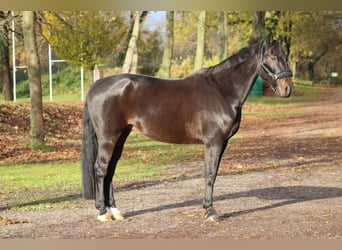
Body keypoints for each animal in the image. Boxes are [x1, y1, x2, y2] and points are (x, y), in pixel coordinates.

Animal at [81, 32, 292, 221]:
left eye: (286, 56)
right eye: (272, 56)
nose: (288, 88)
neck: (221, 91)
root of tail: (96, 85)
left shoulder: (222, 143)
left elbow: (214, 174)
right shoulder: (213, 142)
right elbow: (209, 174)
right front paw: (210, 212)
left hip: (121, 135)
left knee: (110, 170)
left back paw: (115, 211)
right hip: (108, 137)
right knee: (101, 169)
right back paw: (102, 213)